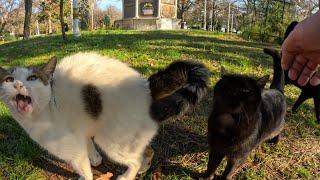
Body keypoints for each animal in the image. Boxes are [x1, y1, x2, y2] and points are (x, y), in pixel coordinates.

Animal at [0, 51, 210, 179]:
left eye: (32, 78)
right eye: (9, 79)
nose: (18, 85)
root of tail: (146, 86)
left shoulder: (73, 149)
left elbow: (84, 168)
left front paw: (85, 173)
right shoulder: (83, 127)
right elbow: (88, 146)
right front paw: (95, 158)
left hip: (112, 140)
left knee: (135, 159)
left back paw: (127, 176)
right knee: (147, 151)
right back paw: (143, 167)